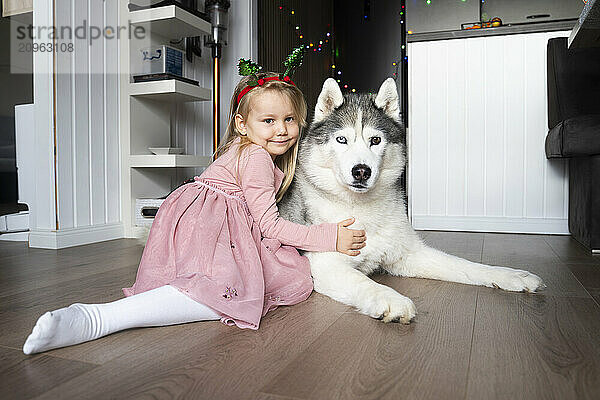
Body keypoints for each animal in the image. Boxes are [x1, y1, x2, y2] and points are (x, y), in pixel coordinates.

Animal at [278, 78, 548, 324]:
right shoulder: (325, 264)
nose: (361, 171)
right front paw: (391, 298)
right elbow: (363, 280)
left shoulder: (409, 253)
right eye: (342, 139)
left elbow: (464, 265)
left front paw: (511, 276)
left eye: (375, 140)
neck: (361, 208)